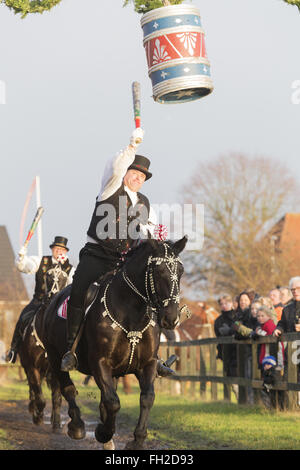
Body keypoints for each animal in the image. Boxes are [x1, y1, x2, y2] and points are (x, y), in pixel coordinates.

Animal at [40, 237, 188, 450]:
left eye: (181, 271)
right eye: (159, 271)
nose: (172, 318)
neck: (131, 313)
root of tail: (53, 300)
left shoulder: (147, 364)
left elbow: (147, 398)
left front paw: (137, 440)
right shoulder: (100, 363)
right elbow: (112, 402)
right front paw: (103, 432)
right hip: (54, 357)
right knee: (68, 388)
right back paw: (77, 426)